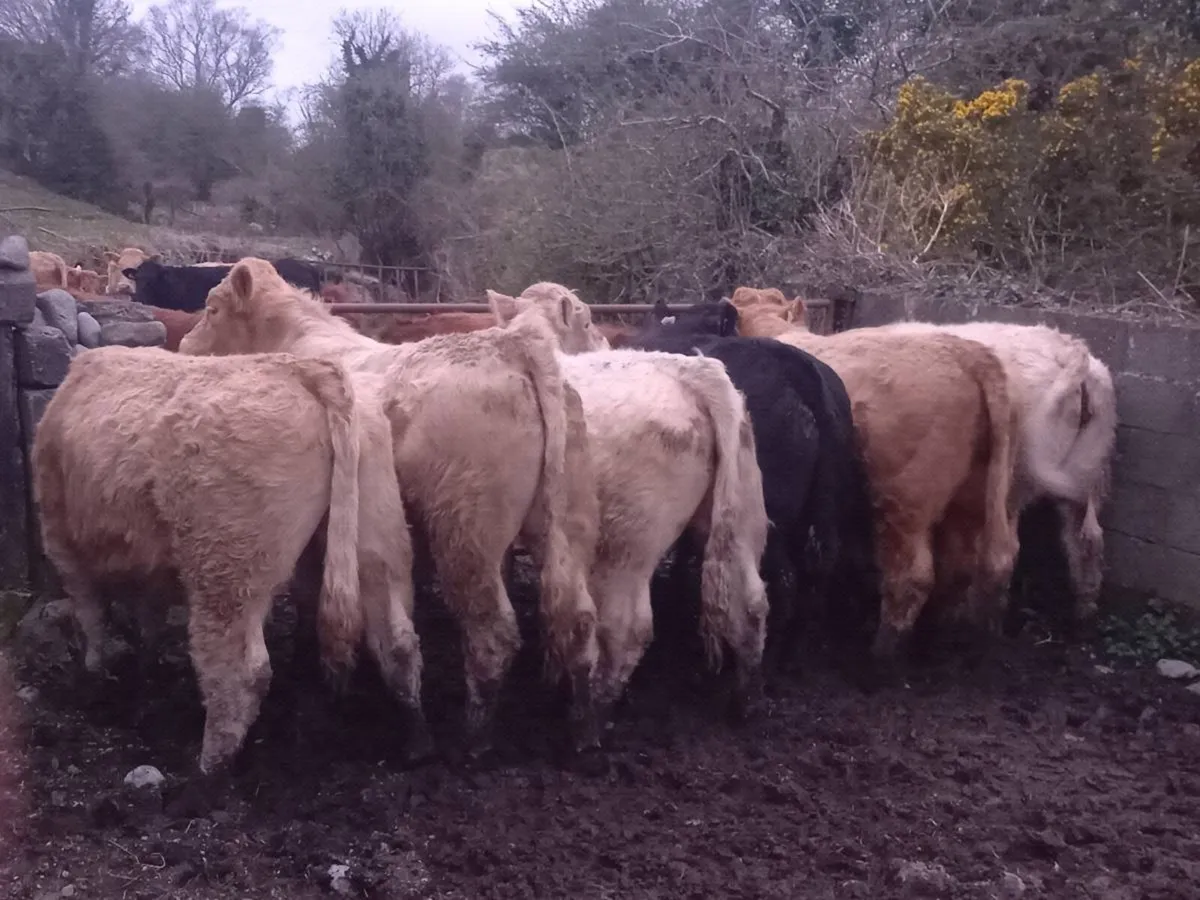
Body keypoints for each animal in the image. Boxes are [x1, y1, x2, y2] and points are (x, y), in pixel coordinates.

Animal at [31, 346, 427, 777]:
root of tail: (301, 367)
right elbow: (146, 619)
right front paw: (144, 670)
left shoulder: (60, 541)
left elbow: (91, 617)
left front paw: (94, 675)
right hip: (377, 533)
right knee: (396, 638)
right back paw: (413, 739)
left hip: (225, 568)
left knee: (238, 671)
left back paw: (209, 768)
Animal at [179, 259, 601, 757]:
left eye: (212, 308)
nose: (184, 347)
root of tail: (514, 348)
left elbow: (309, 591)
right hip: (568, 523)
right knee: (578, 617)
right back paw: (582, 726)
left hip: (467, 534)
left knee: (494, 632)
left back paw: (475, 735)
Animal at [488, 284, 770, 719]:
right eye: (589, 323)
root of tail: (692, 373)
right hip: (741, 517)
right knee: (750, 604)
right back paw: (744, 703)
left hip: (624, 548)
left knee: (626, 629)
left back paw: (591, 711)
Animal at [623, 298, 881, 673]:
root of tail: (798, 371)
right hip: (825, 507)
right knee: (818, 571)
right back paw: (793, 658)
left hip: (765, 514)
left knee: (785, 581)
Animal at [730, 287, 1022, 664]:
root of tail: (969, 354)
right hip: (973, 499)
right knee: (961, 567)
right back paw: (930, 643)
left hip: (903, 505)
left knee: (911, 576)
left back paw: (880, 657)